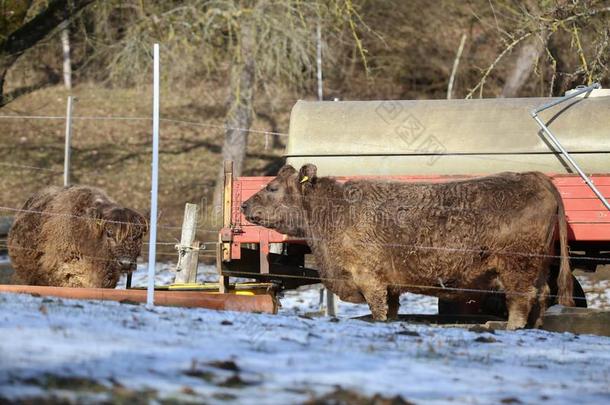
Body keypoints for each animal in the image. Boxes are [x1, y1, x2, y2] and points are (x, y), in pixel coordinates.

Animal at [240, 164, 572, 328]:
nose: (243, 205)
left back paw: (510, 327)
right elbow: (391, 311)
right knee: (542, 294)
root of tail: (534, 177)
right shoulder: (391, 285)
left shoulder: (370, 279)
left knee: (521, 299)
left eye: (272, 187)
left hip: (517, 266)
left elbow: (378, 312)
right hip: (538, 266)